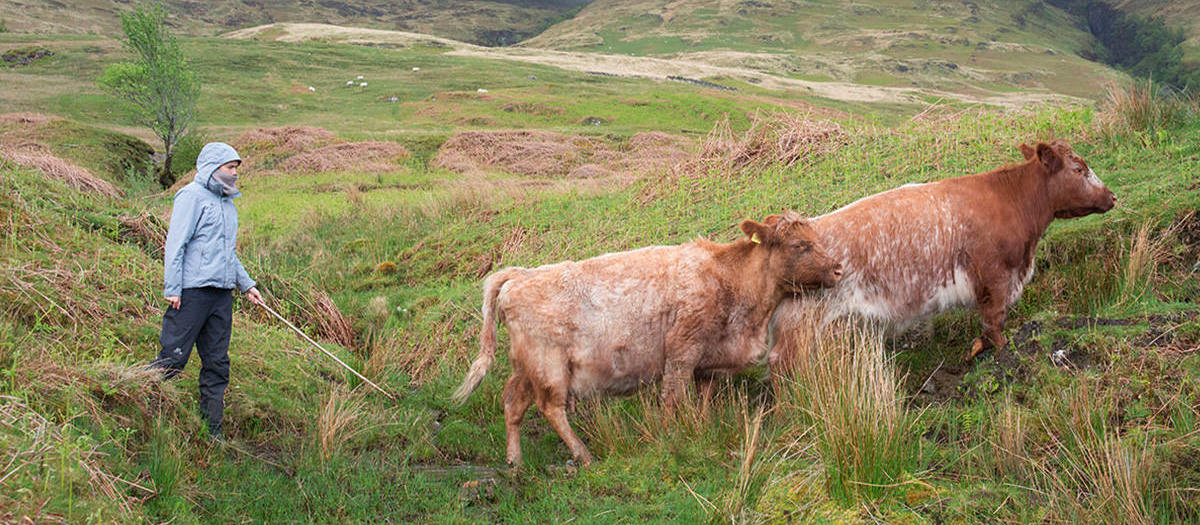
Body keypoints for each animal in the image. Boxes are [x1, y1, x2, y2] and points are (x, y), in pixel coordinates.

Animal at [768, 137, 1113, 361]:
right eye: (1079, 169)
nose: (1112, 196)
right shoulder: (995, 278)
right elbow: (995, 322)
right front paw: (1001, 348)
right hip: (800, 326)